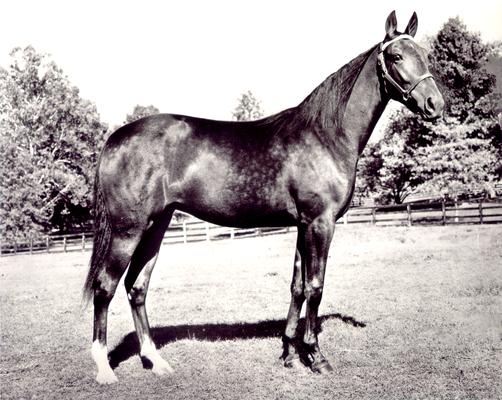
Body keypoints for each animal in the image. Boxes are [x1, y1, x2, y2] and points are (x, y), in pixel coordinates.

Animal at [82, 10, 444, 382]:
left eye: (424, 54)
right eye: (396, 56)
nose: (436, 104)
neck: (325, 136)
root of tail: (115, 139)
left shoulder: (302, 225)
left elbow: (297, 286)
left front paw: (289, 353)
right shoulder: (321, 223)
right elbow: (315, 286)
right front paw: (316, 357)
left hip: (156, 226)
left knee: (136, 287)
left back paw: (156, 360)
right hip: (128, 229)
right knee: (105, 287)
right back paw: (104, 368)